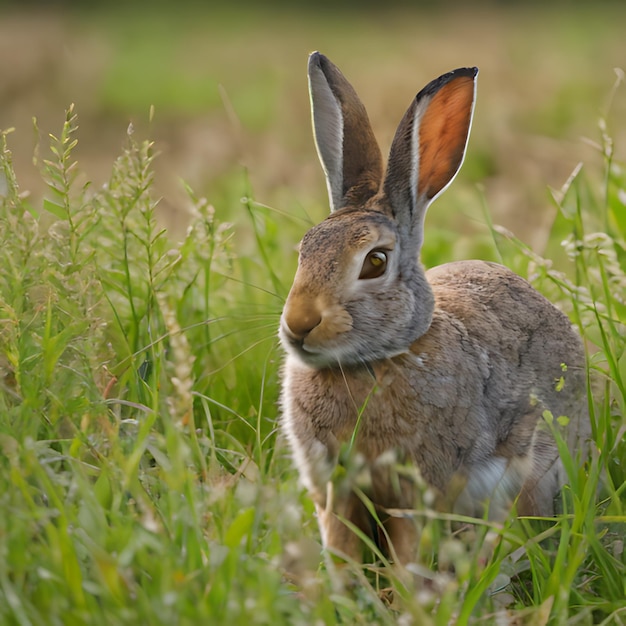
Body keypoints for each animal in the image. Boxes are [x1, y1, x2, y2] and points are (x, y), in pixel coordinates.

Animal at [278, 51, 584, 564]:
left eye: (375, 262)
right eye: (303, 251)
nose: (299, 324)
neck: (375, 361)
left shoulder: (419, 490)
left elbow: (408, 551)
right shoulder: (336, 491)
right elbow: (342, 547)